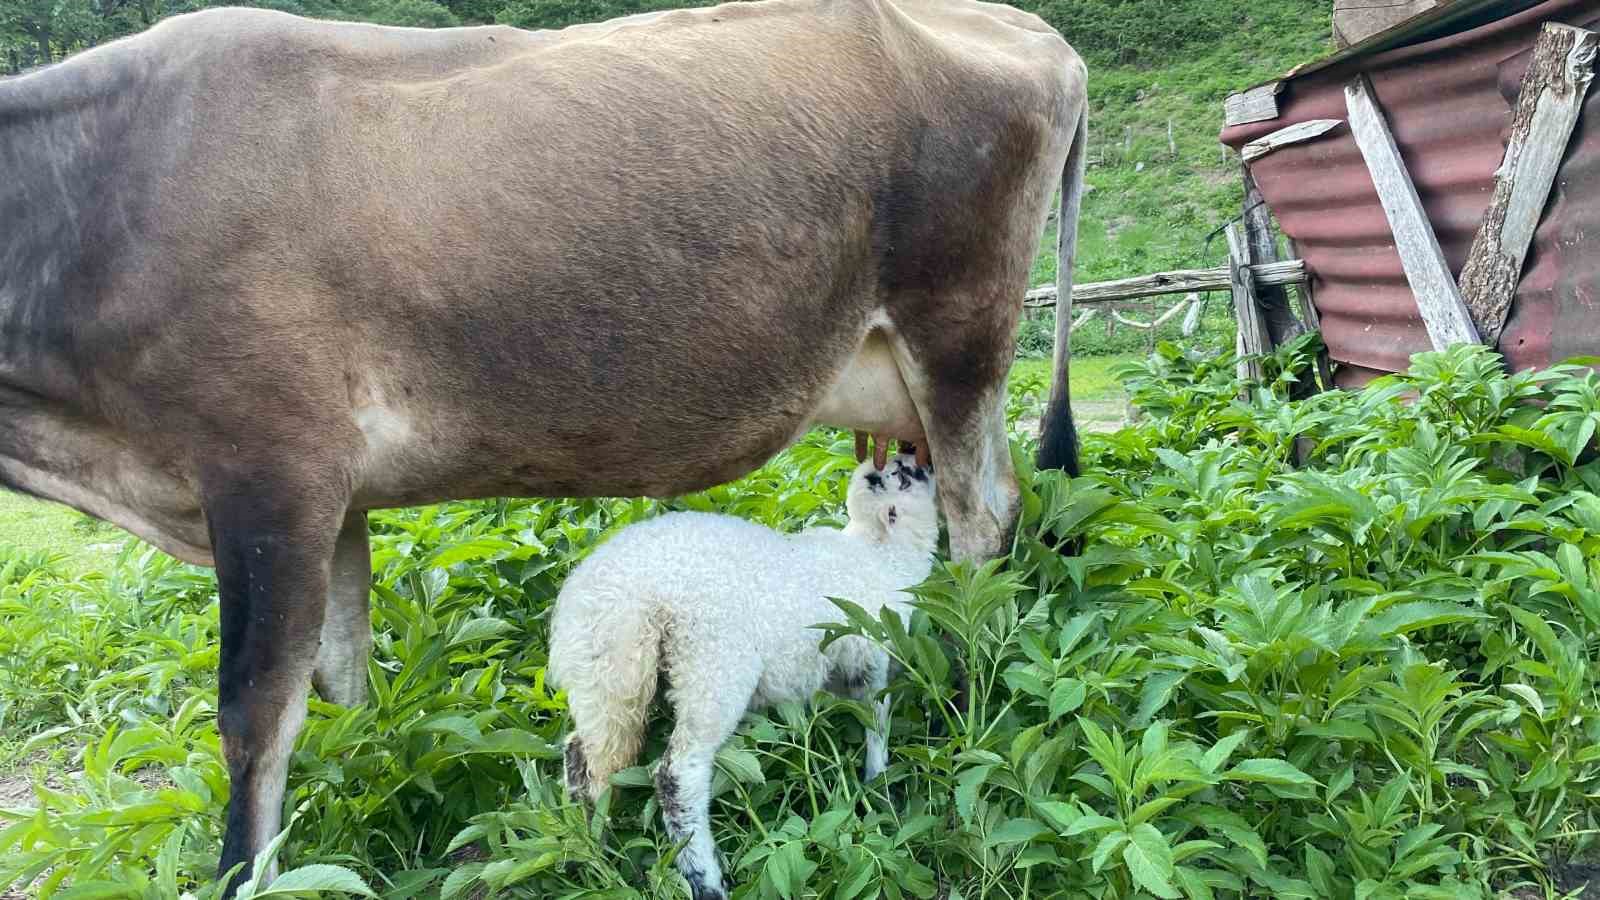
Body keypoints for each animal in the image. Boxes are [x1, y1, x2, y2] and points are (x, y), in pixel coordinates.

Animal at [547, 448, 934, 896]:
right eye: (904, 476)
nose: (919, 455)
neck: (882, 557)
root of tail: (616, 597)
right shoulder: (871, 651)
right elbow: (876, 721)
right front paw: (878, 785)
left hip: (606, 675)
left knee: (586, 759)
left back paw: (594, 850)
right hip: (711, 669)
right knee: (676, 774)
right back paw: (705, 879)